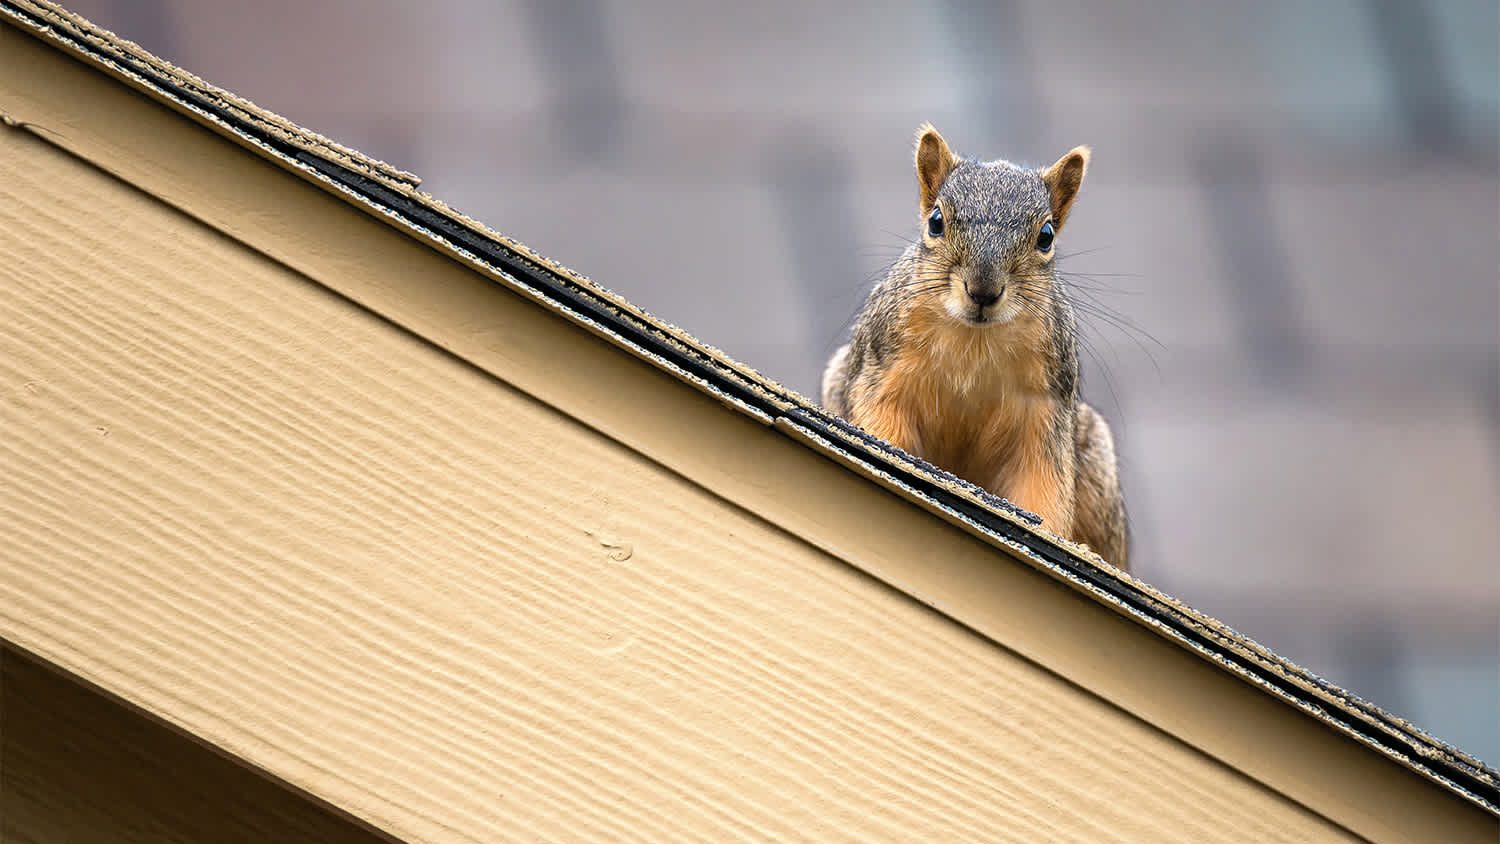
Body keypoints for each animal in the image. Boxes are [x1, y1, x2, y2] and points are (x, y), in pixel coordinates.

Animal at [821, 124, 1129, 569]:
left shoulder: (1045, 409)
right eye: (936, 222)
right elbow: (883, 426)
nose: (983, 290)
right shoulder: (882, 370)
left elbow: (1043, 482)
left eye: (1046, 237)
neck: (975, 340)